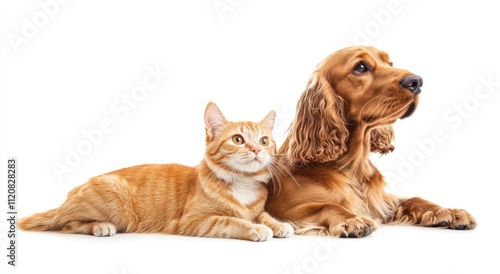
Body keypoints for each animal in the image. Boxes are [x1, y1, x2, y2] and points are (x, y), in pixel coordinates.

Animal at [19, 101, 292, 241]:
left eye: (264, 141)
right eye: (237, 140)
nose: (257, 150)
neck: (242, 183)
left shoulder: (257, 209)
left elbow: (263, 215)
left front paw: (278, 224)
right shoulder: (194, 221)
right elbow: (231, 220)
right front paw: (256, 229)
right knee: (66, 224)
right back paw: (100, 226)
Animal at [266, 46, 476, 237]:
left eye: (390, 63)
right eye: (361, 67)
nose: (416, 81)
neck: (354, 166)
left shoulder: (383, 202)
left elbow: (414, 199)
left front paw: (447, 211)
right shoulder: (287, 209)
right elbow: (327, 206)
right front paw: (352, 219)